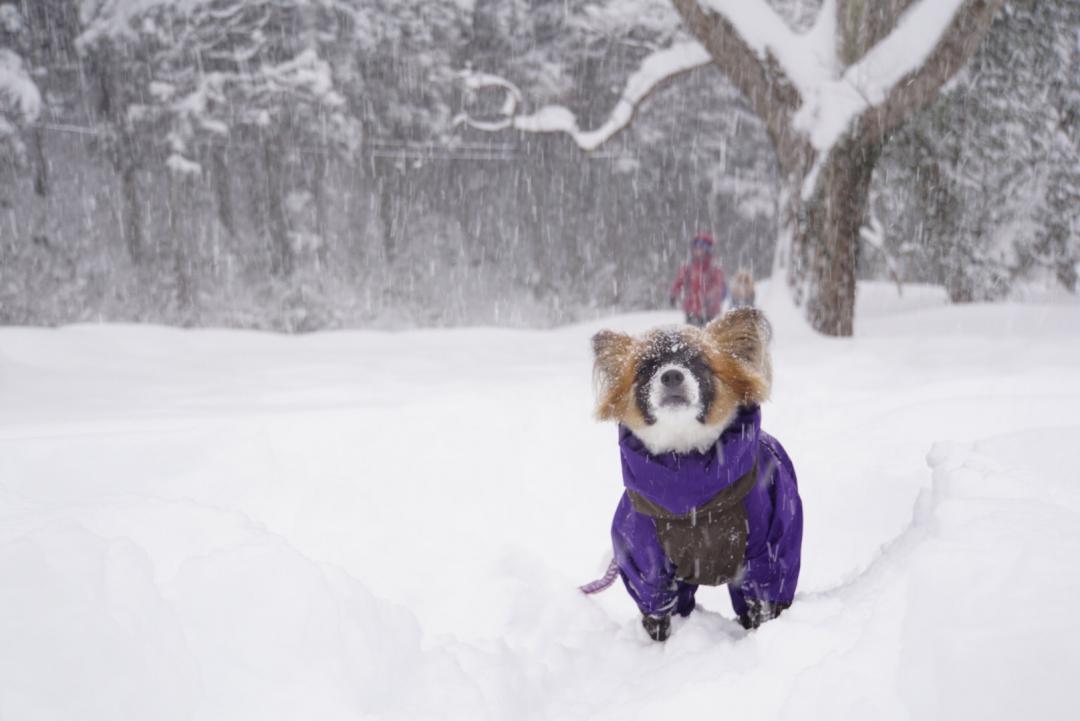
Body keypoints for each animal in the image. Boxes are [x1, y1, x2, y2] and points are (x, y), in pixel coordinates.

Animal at [591, 306, 803, 638]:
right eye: (645, 369)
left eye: (699, 363)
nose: (672, 375)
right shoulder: (646, 566)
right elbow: (657, 615)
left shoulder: (771, 550)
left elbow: (765, 601)